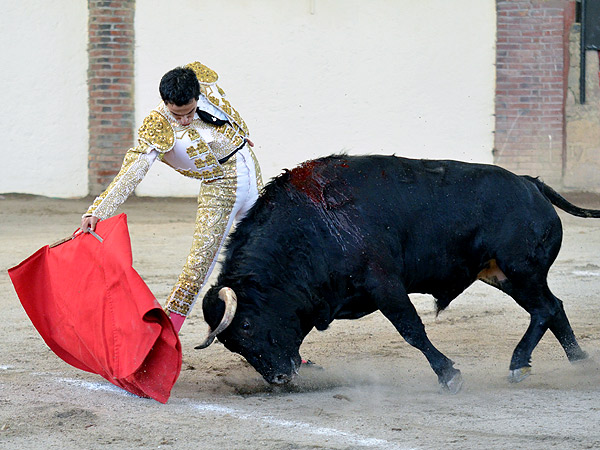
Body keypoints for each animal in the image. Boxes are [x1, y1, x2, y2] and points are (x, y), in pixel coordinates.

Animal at [197, 154, 596, 390]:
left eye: (247, 326)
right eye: (231, 344)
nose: (280, 378)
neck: (311, 224)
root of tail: (530, 183)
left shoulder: (384, 283)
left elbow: (411, 329)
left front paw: (449, 374)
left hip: (521, 270)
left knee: (544, 308)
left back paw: (519, 364)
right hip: (504, 275)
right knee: (553, 308)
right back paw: (578, 361)